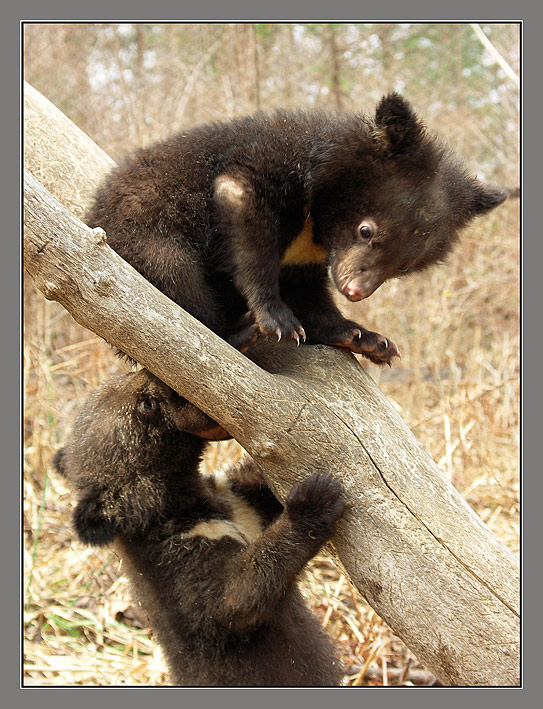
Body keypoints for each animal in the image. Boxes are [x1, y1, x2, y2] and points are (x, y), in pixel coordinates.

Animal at [53, 369, 346, 686]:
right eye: (147, 405)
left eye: (125, 378)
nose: (151, 373)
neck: (189, 507)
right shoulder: (180, 563)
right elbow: (233, 599)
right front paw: (314, 500)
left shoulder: (238, 499)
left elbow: (257, 486)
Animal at [86, 92, 507, 365]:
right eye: (366, 230)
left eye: (405, 265)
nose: (355, 290)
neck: (315, 225)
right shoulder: (263, 170)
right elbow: (246, 226)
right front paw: (279, 320)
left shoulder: (306, 258)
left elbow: (311, 293)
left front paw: (367, 339)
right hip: (143, 232)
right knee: (175, 277)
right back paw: (237, 331)